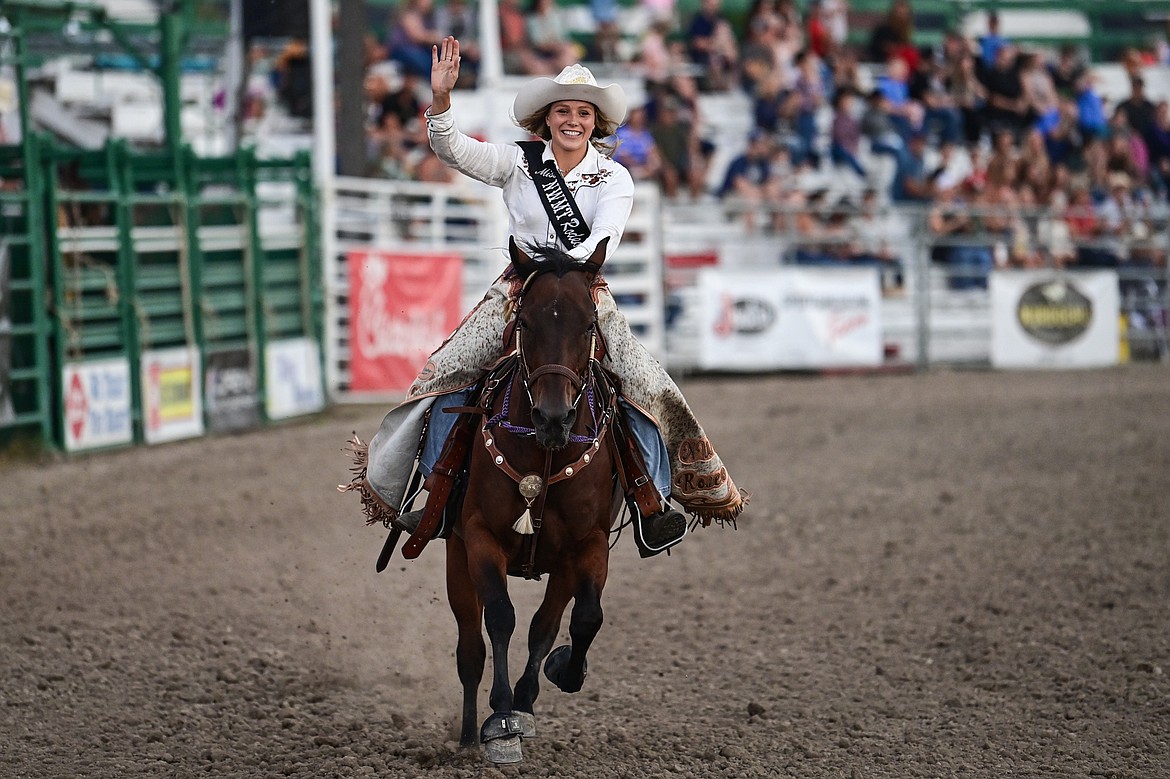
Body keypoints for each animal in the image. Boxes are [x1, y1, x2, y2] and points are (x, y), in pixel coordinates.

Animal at [449, 235, 622, 757]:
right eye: (525, 322)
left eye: (588, 325)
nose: (553, 417)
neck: (543, 456)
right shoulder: (480, 539)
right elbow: (501, 618)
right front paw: (502, 717)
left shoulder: (586, 546)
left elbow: (582, 619)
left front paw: (560, 674)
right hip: (455, 556)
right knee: (470, 649)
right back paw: (468, 737)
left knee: (545, 624)